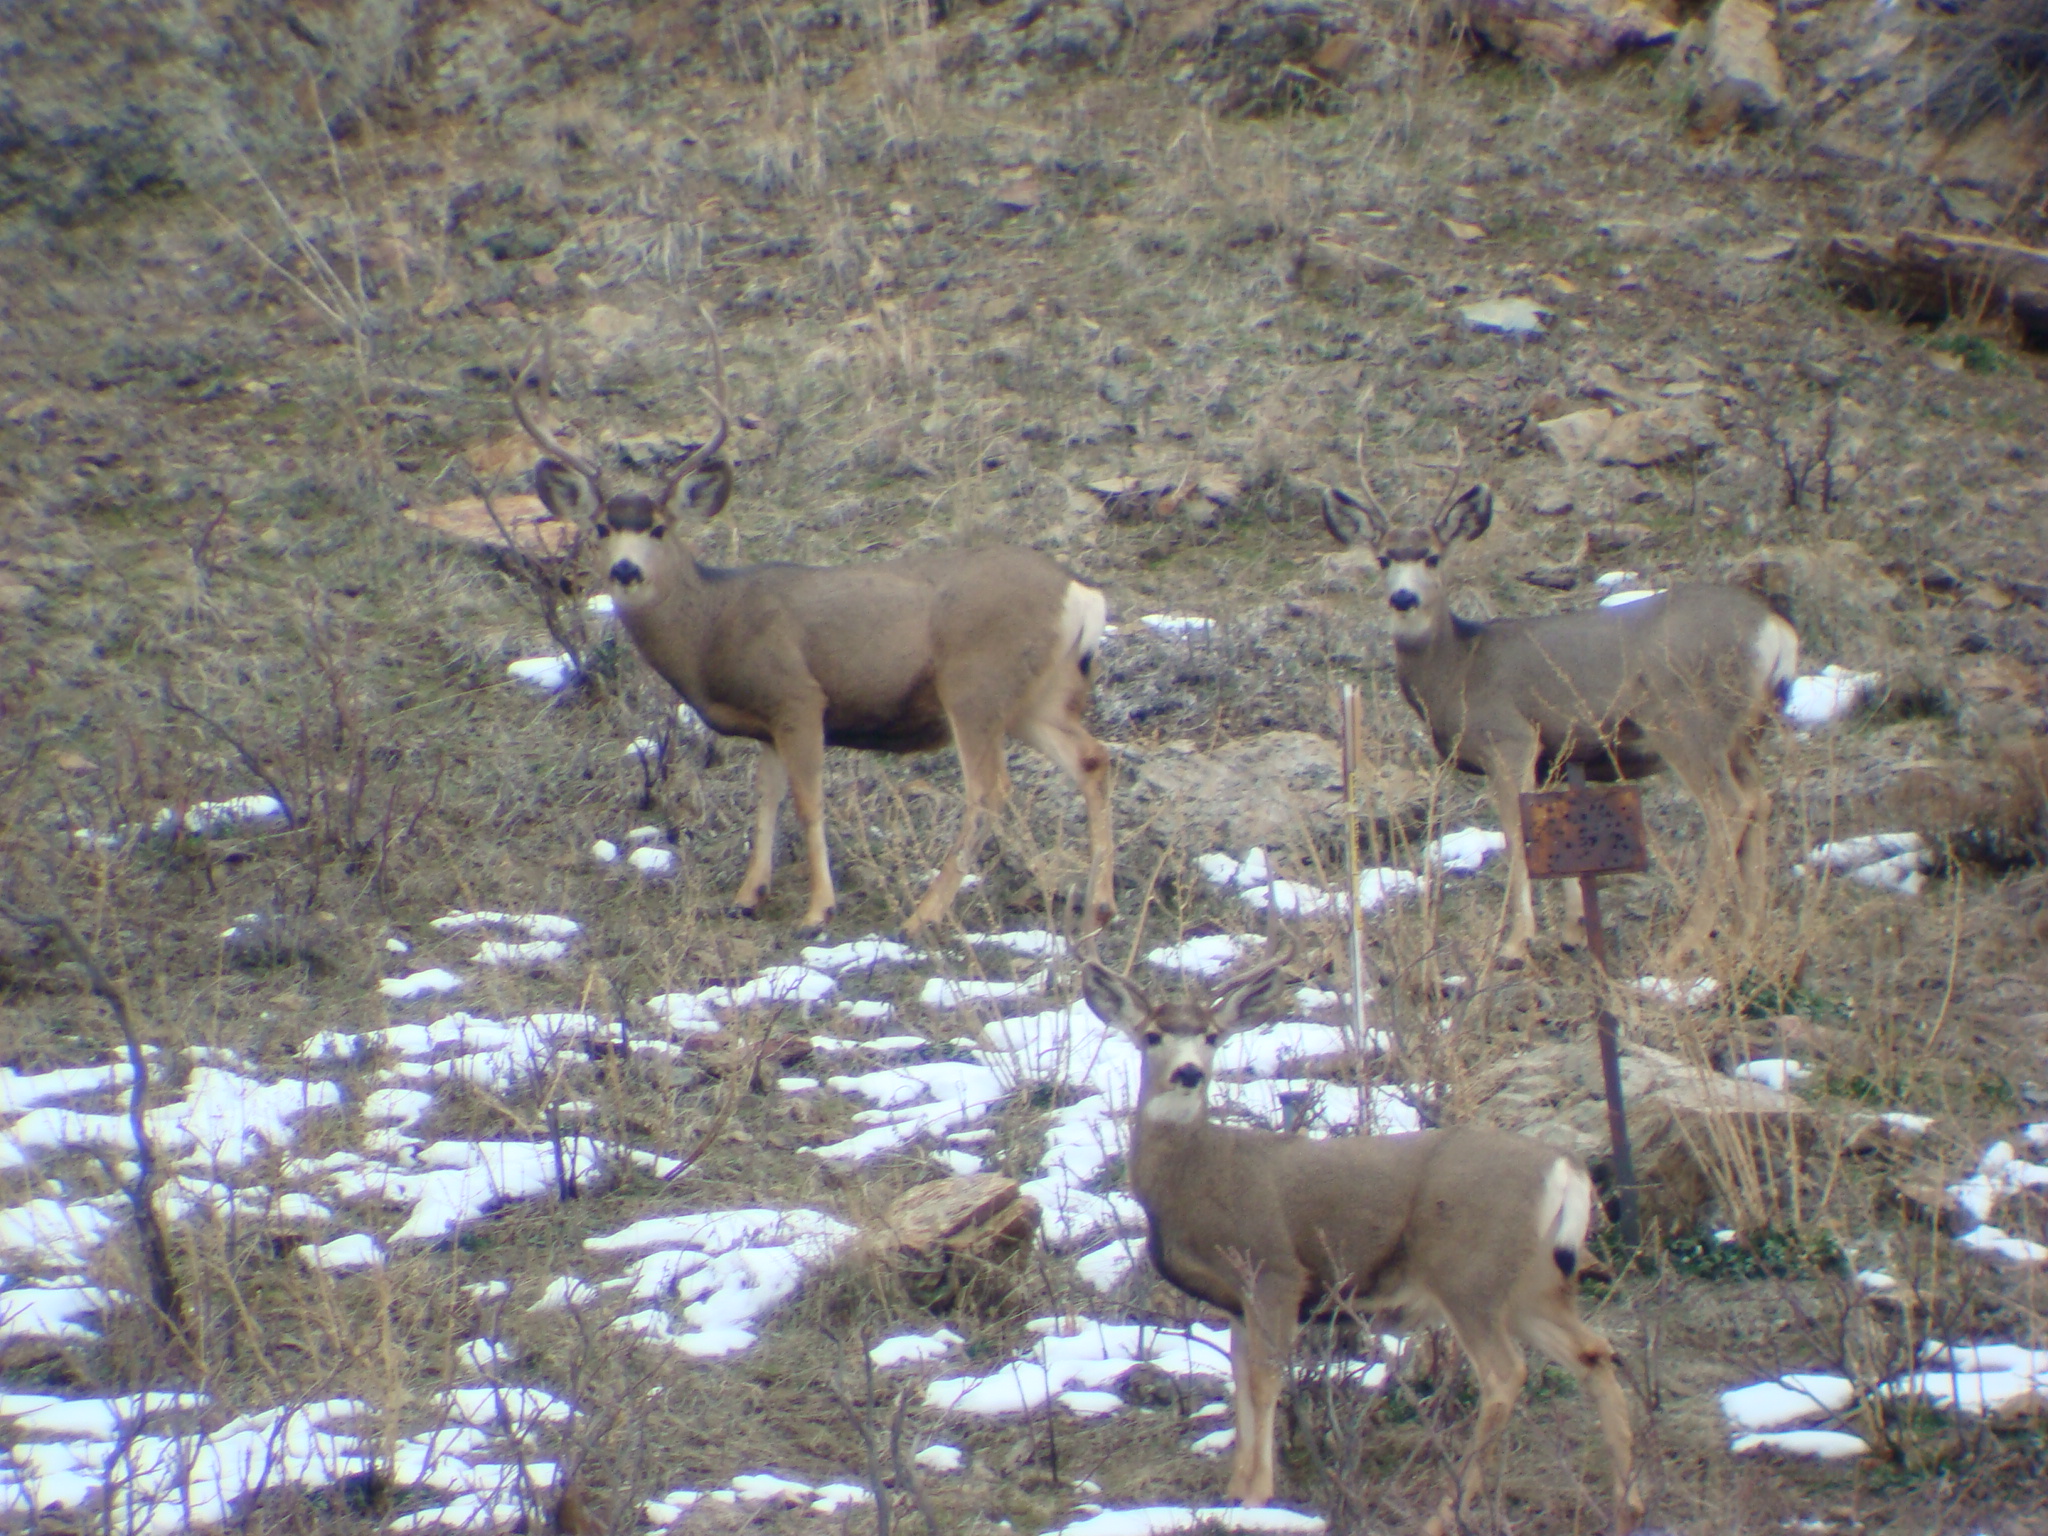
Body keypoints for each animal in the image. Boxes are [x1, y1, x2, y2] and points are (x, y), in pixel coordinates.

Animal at [520, 327, 1114, 937]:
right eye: (601, 528)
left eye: (659, 529)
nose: (625, 570)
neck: (712, 626)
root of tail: (1081, 595)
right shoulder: (765, 725)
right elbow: (766, 804)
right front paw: (748, 896)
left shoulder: (798, 697)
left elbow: (808, 804)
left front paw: (817, 911)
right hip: (1038, 698)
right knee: (1094, 760)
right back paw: (1099, 908)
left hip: (977, 684)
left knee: (989, 790)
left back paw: (923, 915)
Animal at [1081, 962, 1638, 1536]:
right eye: (1153, 1035)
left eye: (1212, 1036)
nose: (1190, 1072)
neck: (1196, 1175)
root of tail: (1567, 1169)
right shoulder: (1236, 1300)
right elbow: (1239, 1379)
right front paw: (1234, 1492)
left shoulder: (1274, 1269)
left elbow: (1264, 1378)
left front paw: (1258, 1496)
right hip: (1531, 1285)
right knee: (1594, 1352)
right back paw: (1627, 1504)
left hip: (1468, 1273)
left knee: (1505, 1373)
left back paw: (1447, 1511)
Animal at [1327, 481, 1794, 966]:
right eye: (1384, 558)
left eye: (1432, 557)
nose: (1403, 598)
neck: (1458, 668)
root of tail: (1775, 630)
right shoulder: (1553, 758)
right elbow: (1558, 830)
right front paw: (1573, 931)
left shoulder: (1509, 739)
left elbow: (1518, 835)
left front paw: (1516, 942)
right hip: (1743, 734)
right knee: (1759, 800)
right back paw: (1746, 936)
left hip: (1683, 720)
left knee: (1730, 807)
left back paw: (1683, 943)